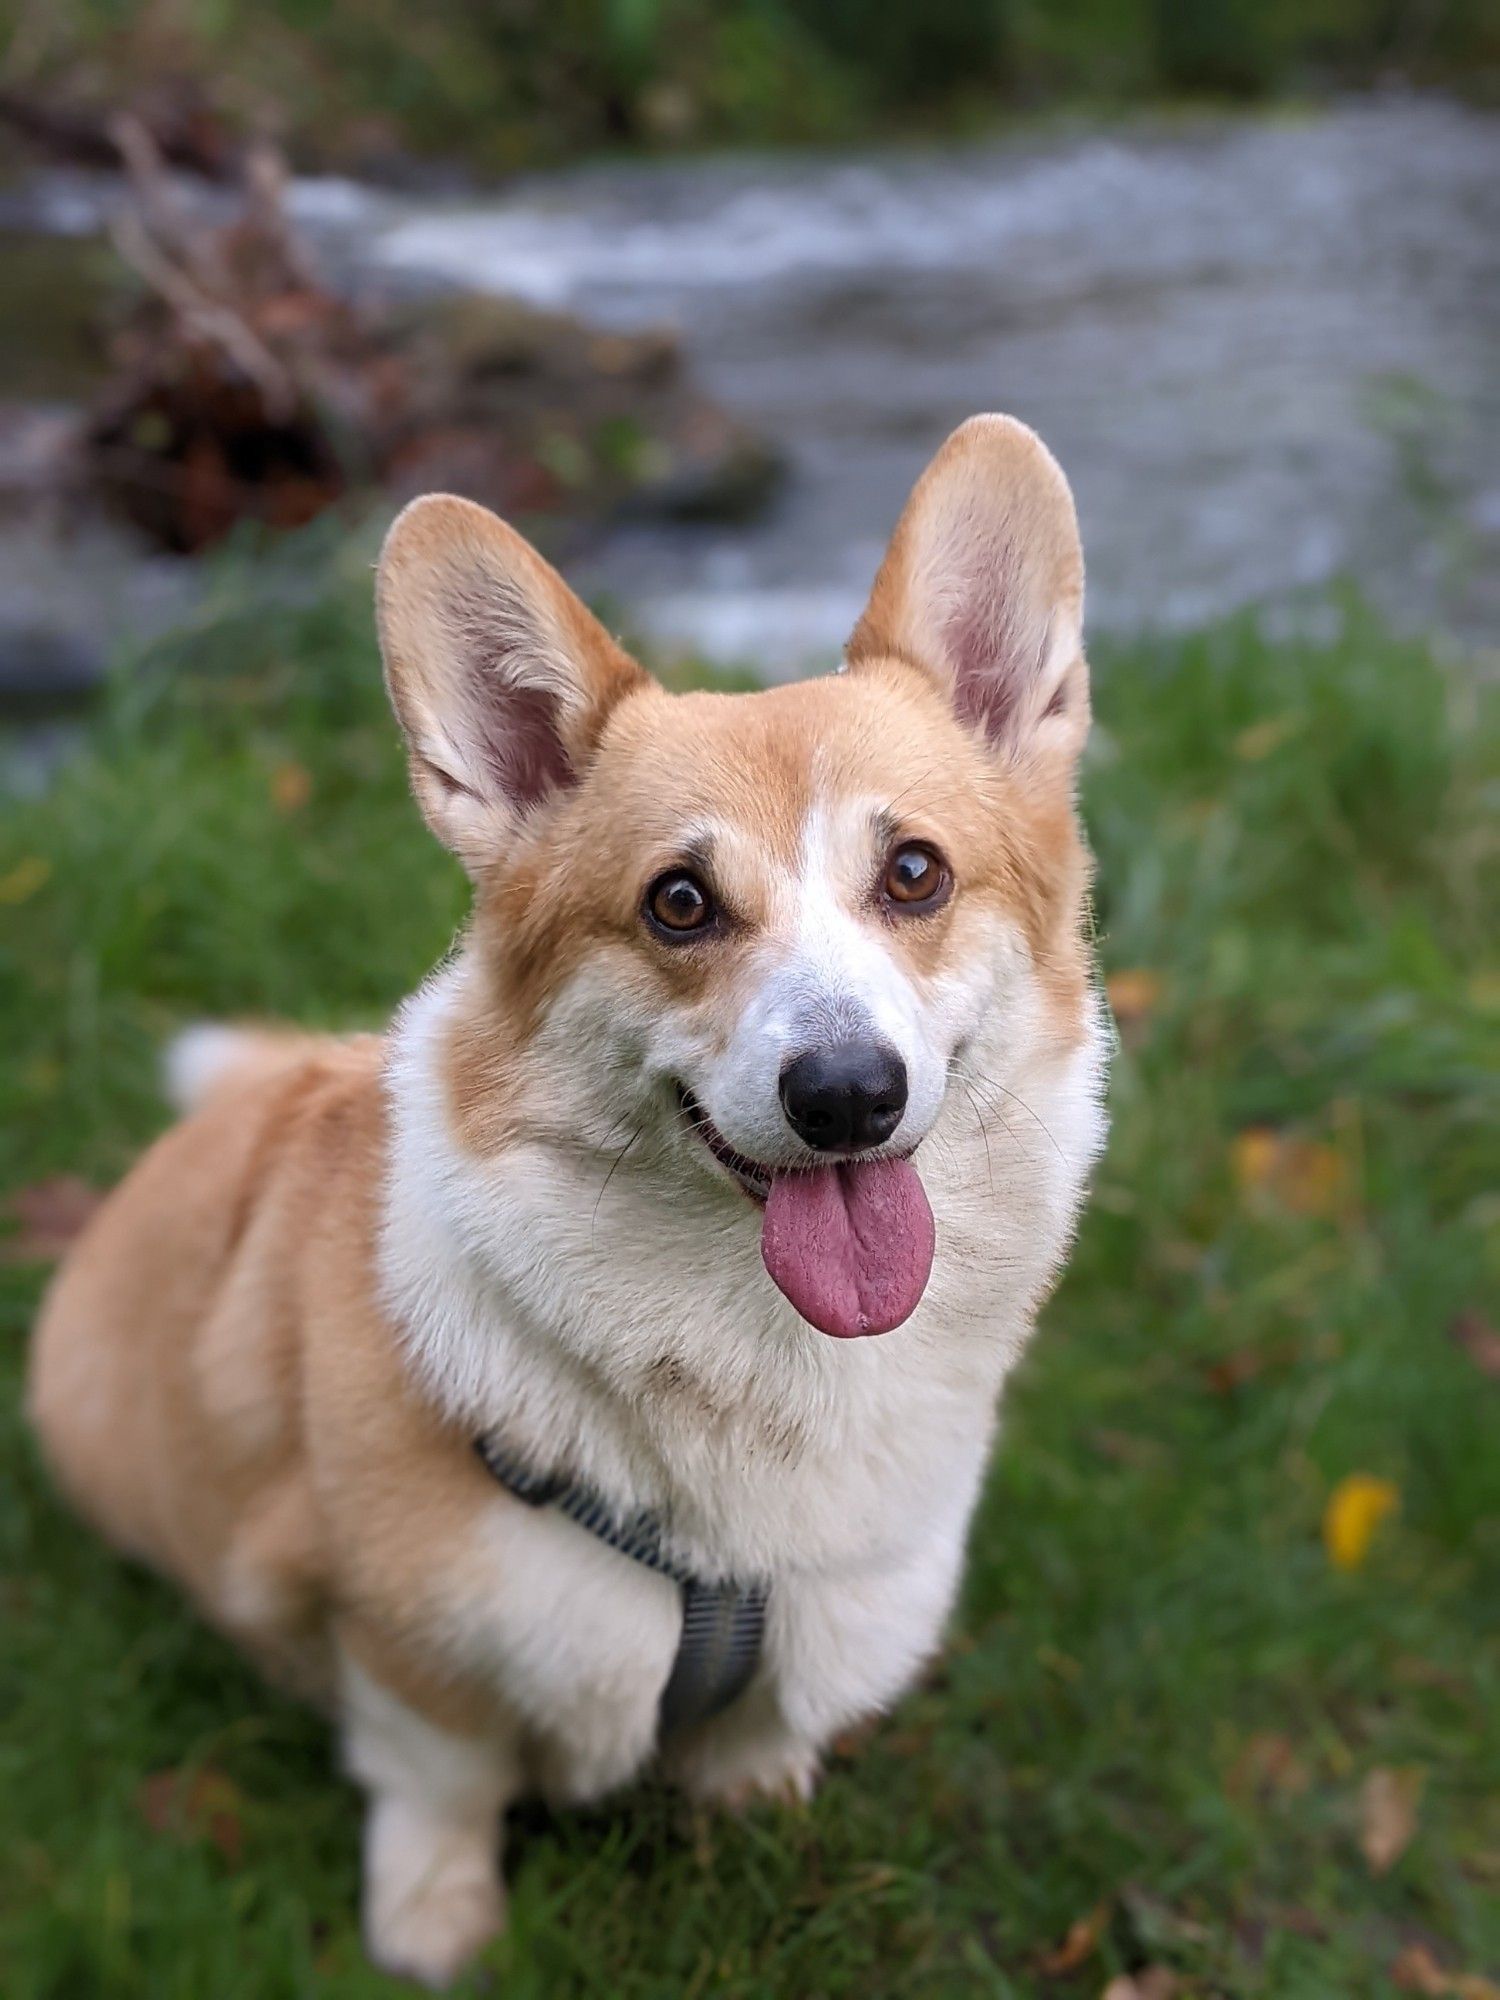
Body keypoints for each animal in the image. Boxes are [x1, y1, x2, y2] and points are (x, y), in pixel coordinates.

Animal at [23, 418, 1104, 1984]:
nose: (849, 1093)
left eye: (915, 873)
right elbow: (440, 1778)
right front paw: (435, 1923)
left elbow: (757, 1744)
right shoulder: (410, 1641)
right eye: (678, 903)